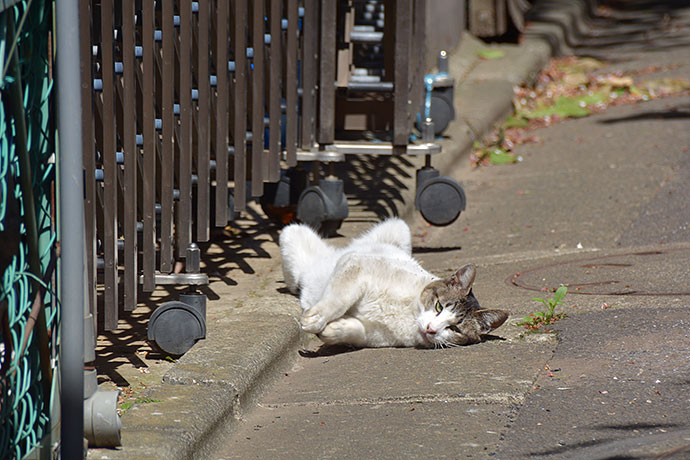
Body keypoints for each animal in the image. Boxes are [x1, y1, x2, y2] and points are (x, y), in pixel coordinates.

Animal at [276, 217, 508, 346]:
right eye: (439, 306)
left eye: (455, 329)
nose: (431, 329)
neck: (410, 315)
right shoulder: (354, 265)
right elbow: (338, 300)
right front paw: (314, 320)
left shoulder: (377, 335)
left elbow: (357, 332)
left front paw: (333, 330)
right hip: (295, 240)